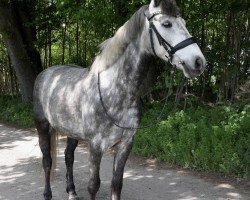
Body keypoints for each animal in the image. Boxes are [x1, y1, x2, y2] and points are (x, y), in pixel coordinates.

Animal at [33, 0, 205, 199]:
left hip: (71, 132)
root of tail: (45, 73)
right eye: (166, 24)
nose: (199, 62)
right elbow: (94, 185)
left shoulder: (125, 144)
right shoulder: (95, 146)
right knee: (47, 161)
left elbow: (116, 183)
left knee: (69, 157)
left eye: (184, 23)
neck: (115, 90)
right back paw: (47, 194)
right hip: (43, 127)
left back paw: (72, 192)